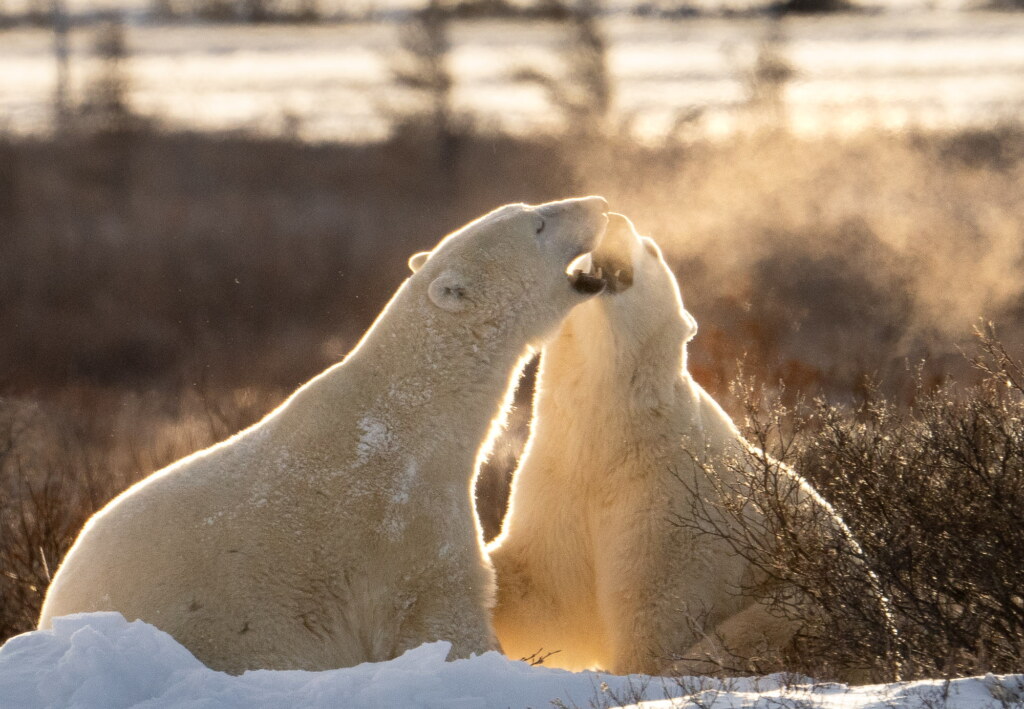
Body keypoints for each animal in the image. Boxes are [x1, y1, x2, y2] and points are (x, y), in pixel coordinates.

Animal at [38, 196, 611, 675]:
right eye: (537, 223)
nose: (598, 203)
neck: (413, 415)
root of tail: (50, 612)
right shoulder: (404, 526)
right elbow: (444, 618)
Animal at [488, 212, 879, 677]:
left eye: (652, 249)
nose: (614, 217)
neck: (615, 434)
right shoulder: (559, 480)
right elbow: (539, 588)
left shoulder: (674, 507)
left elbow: (656, 608)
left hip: (815, 604)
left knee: (761, 628)